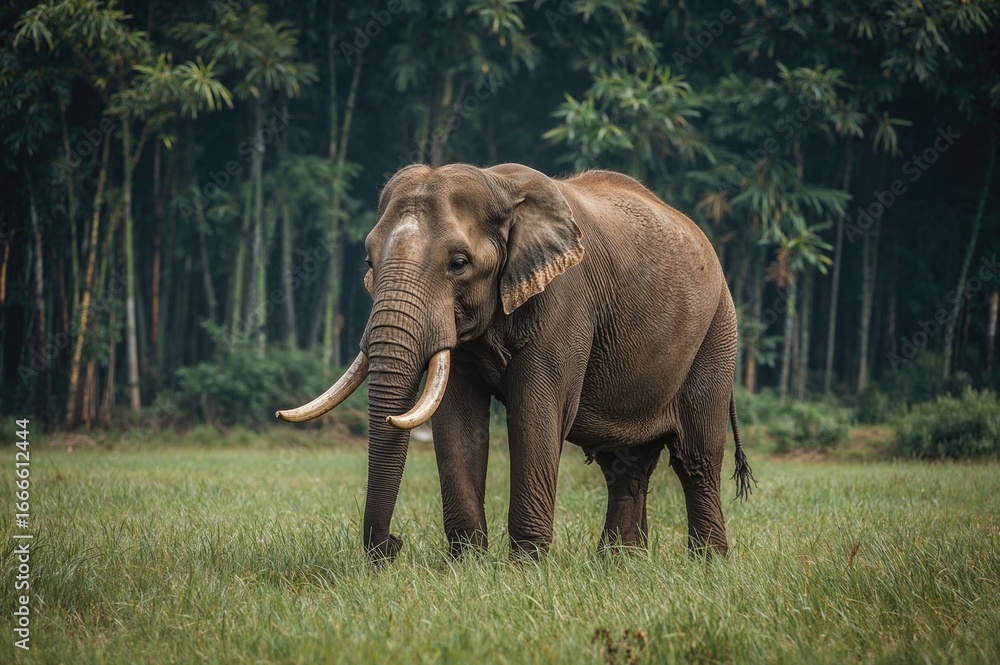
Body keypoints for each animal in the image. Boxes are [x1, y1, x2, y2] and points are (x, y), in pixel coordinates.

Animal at [277, 163, 755, 562]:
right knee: (625, 465)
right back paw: (621, 565)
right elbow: (457, 418)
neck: (500, 188)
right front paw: (467, 565)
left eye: (458, 264)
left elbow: (535, 414)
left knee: (695, 459)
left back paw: (706, 564)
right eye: (368, 260)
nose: (394, 546)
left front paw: (525, 568)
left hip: (717, 333)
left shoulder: (565, 301)